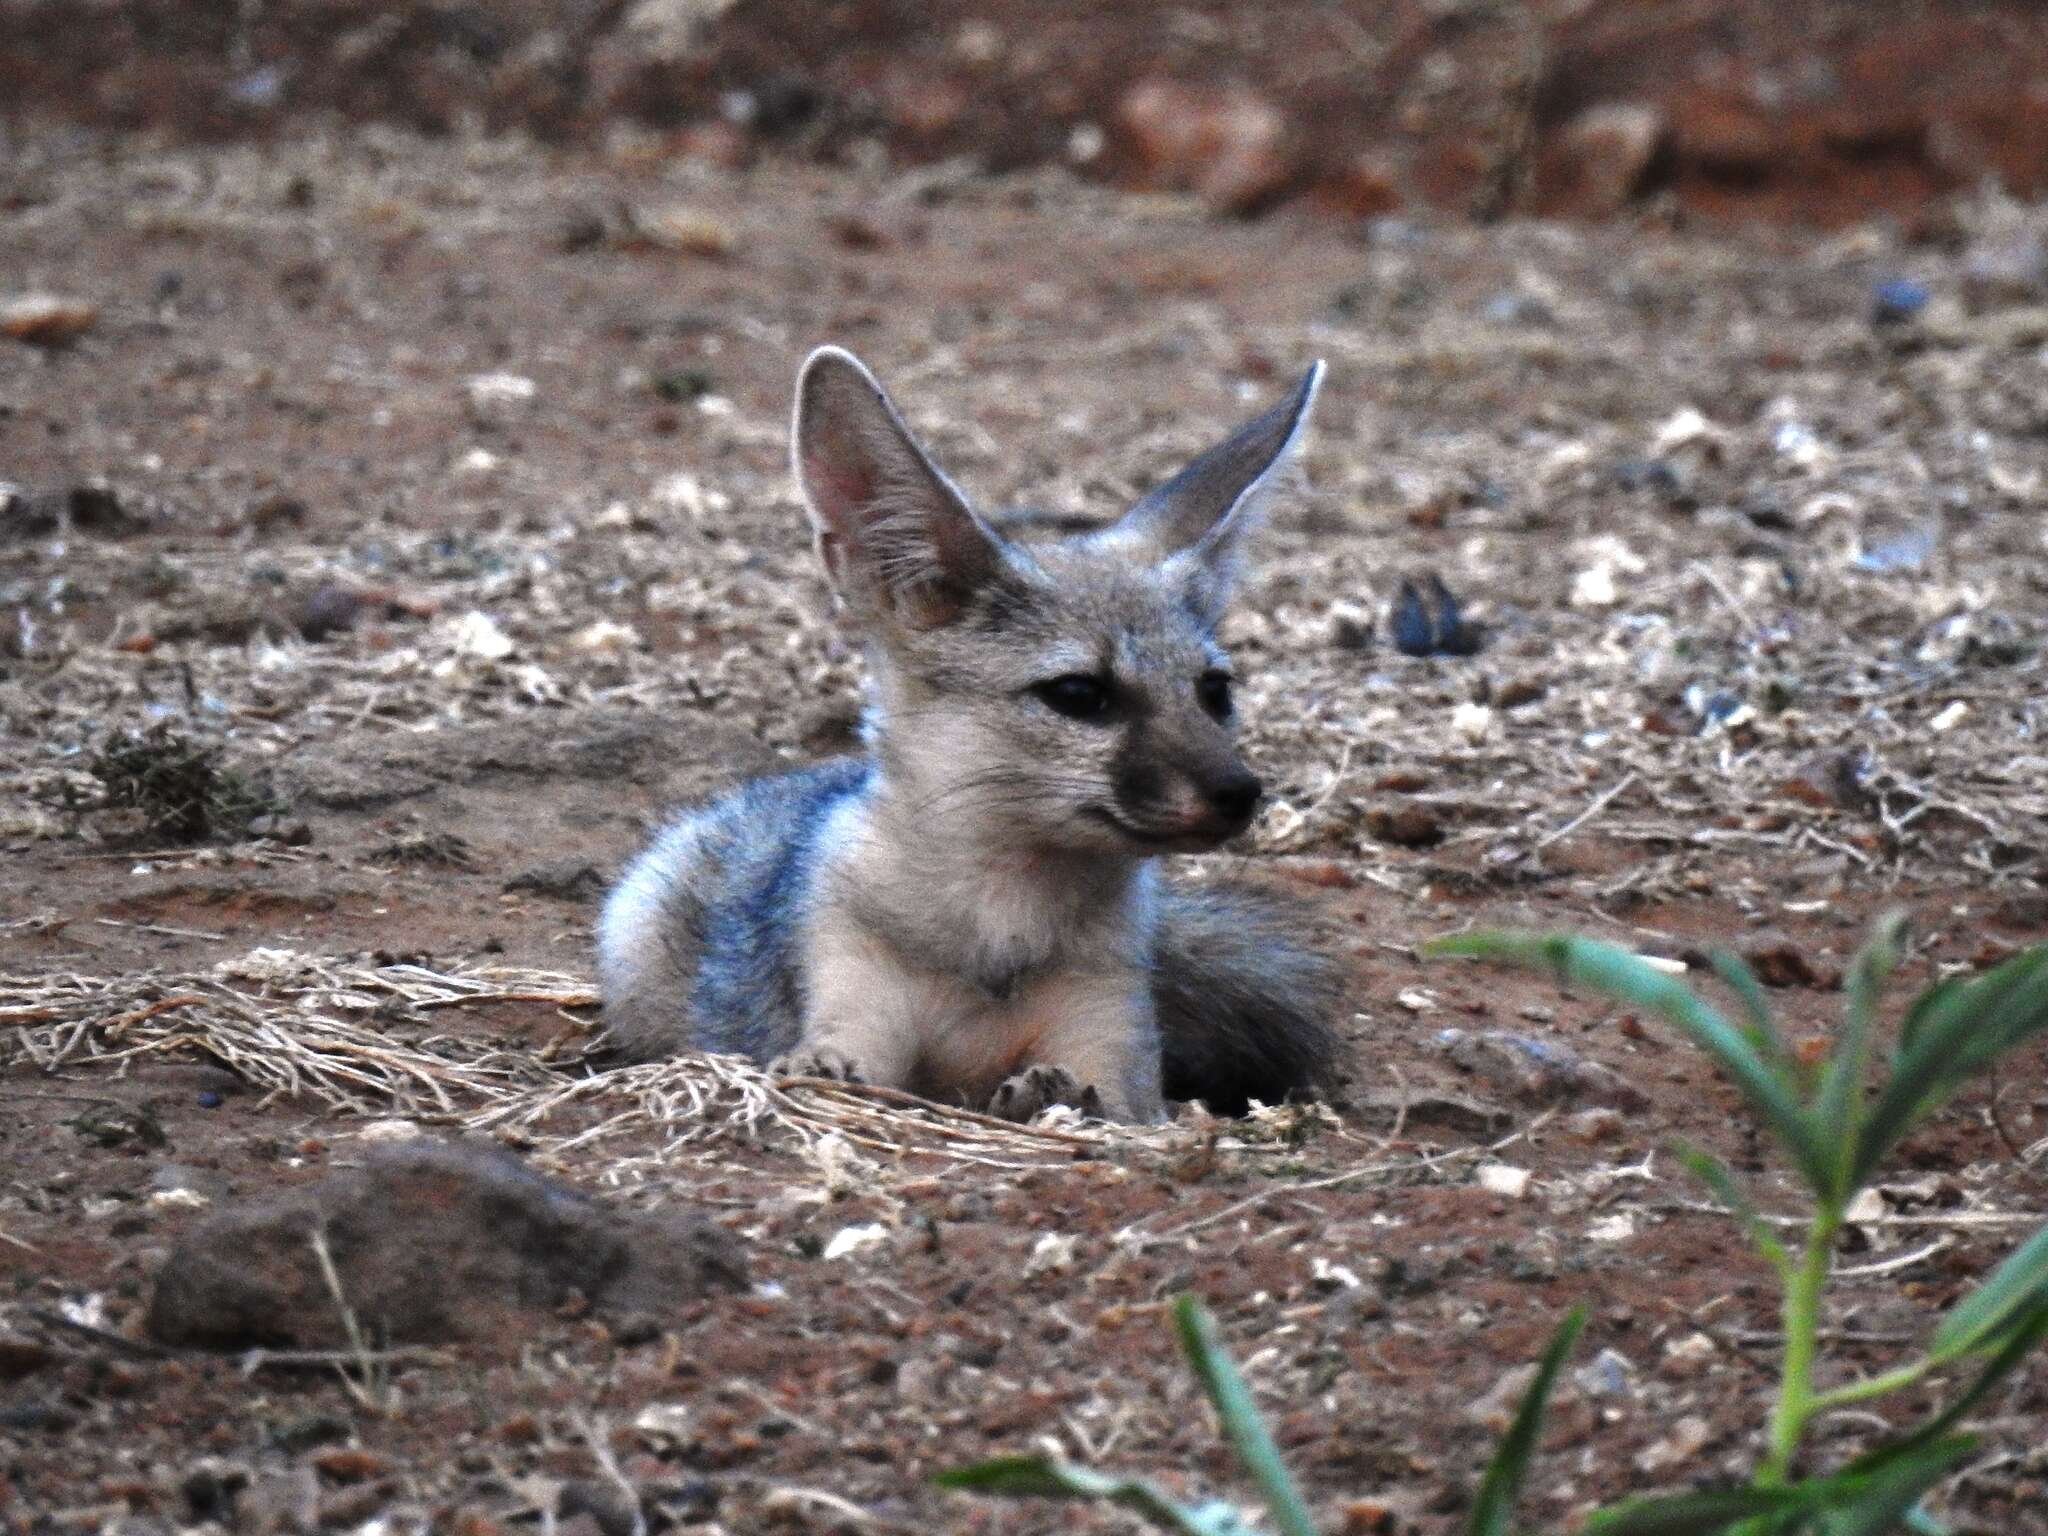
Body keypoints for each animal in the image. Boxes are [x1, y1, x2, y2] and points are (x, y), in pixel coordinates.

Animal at [598, 346, 1343, 1122]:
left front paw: (1048, 1092)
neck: (999, 939)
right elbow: (837, 1062)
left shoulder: (1115, 1056)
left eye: (1214, 691)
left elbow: (1099, 1096)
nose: (1241, 792)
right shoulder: (856, 999)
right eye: (1079, 694)